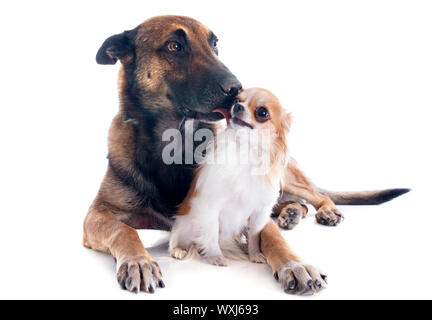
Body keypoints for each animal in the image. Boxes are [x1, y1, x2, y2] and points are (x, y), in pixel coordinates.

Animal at [83, 15, 408, 296]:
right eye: (174, 46)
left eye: (215, 44)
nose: (236, 89)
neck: (175, 141)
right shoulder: (98, 214)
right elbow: (125, 232)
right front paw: (139, 261)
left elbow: (271, 237)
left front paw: (295, 264)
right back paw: (290, 213)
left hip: (285, 176)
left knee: (314, 196)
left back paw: (320, 211)